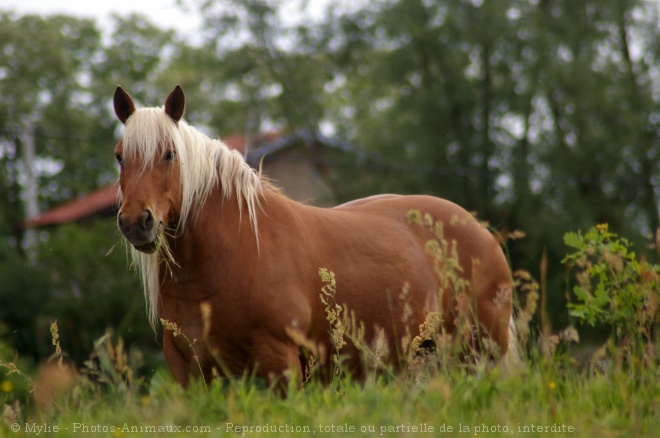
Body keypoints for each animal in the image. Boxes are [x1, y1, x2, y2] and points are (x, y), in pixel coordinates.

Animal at [112, 85, 516, 386]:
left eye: (169, 154)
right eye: (119, 156)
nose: (136, 222)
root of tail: (479, 230)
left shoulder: (280, 363)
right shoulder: (190, 370)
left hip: (480, 353)